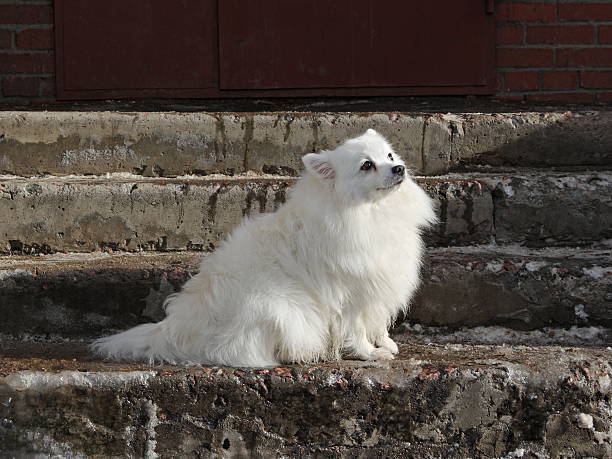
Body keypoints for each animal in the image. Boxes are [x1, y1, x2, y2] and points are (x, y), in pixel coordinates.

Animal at [92, 129, 436, 366]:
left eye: (389, 157)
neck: (369, 212)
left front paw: (385, 343)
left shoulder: (379, 285)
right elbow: (356, 328)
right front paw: (369, 353)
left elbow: (376, 320)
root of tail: (176, 329)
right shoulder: (350, 292)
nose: (399, 168)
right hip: (278, 308)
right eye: (367, 165)